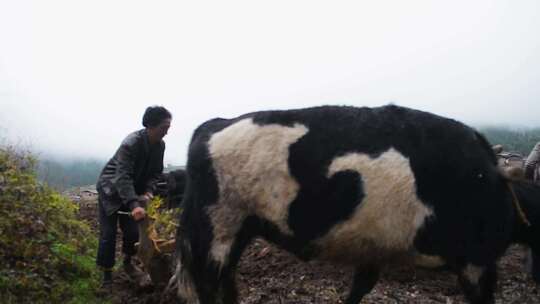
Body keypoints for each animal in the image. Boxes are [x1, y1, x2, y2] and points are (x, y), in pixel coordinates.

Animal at [172, 105, 540, 304]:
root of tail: (215, 124)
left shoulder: (374, 248)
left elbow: (359, 289)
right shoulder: (477, 261)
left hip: (234, 232)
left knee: (226, 283)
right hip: (216, 230)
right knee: (208, 285)